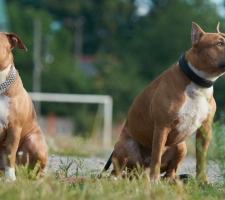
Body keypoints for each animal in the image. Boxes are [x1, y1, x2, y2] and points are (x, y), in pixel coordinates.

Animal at [103, 22, 225, 184]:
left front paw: (202, 181)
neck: (198, 83)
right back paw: (117, 179)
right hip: (126, 145)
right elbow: (156, 156)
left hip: (181, 146)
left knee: (171, 170)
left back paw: (170, 180)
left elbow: (201, 158)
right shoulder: (162, 127)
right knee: (116, 170)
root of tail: (140, 173)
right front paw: (154, 180)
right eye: (219, 43)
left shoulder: (205, 129)